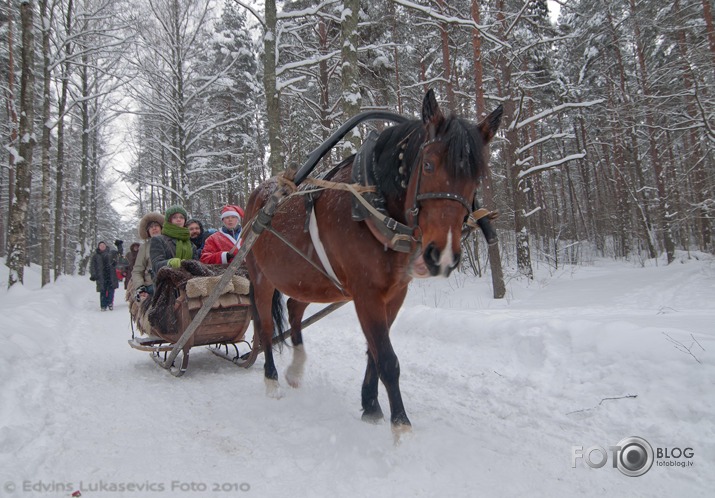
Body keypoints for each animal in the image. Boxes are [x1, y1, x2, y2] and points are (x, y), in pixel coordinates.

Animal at [246, 91, 504, 434]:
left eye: (477, 176)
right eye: (429, 165)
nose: (442, 255)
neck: (374, 208)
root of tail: (258, 196)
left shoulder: (394, 293)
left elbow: (374, 351)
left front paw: (370, 405)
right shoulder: (366, 293)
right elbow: (387, 358)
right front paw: (401, 425)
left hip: (310, 279)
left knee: (293, 308)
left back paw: (296, 368)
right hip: (261, 277)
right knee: (263, 327)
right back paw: (272, 380)